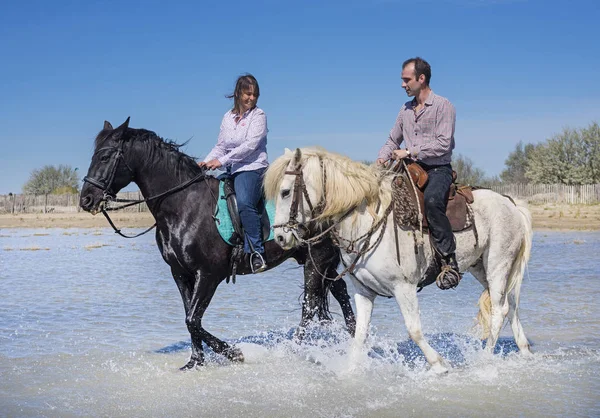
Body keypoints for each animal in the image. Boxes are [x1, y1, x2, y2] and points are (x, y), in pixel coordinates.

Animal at [77, 117, 354, 370]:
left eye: (104, 157)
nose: (87, 200)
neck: (184, 205)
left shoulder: (208, 275)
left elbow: (192, 320)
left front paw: (235, 353)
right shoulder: (180, 273)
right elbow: (190, 318)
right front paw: (195, 362)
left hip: (316, 259)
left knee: (310, 306)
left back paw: (291, 350)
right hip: (320, 261)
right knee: (340, 292)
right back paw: (353, 338)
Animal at [264, 148, 532, 376]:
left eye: (285, 192)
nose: (280, 238)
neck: (366, 222)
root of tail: (511, 203)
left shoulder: (404, 288)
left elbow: (414, 330)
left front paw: (439, 365)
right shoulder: (364, 291)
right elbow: (359, 334)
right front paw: (351, 371)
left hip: (498, 264)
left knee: (499, 310)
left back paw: (484, 360)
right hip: (482, 268)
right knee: (510, 305)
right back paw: (524, 349)